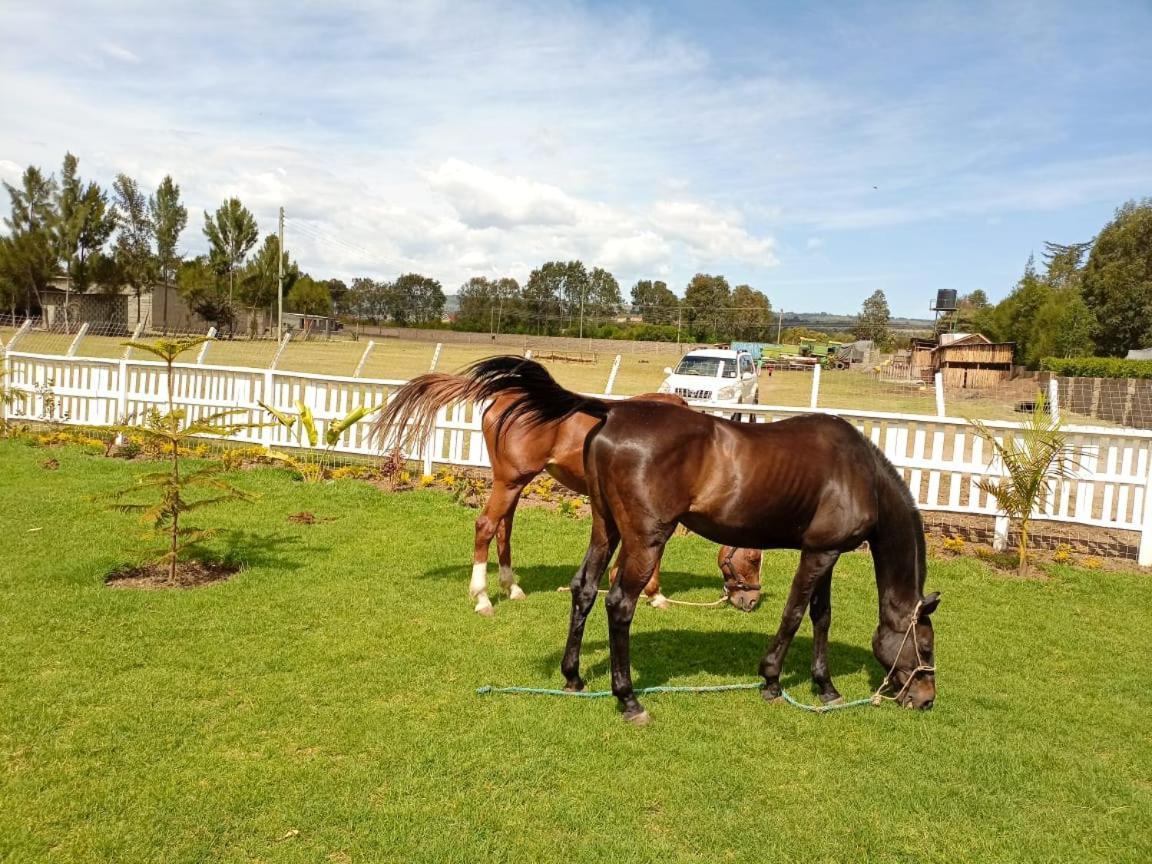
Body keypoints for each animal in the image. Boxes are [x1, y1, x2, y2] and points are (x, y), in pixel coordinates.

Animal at [370, 373, 764, 617]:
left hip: (514, 483)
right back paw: (482, 597)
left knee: (504, 529)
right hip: (510, 481)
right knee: (486, 526)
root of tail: (504, 396)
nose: (750, 600)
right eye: (754, 557)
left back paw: (511, 587)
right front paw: (655, 594)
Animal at [453, 357, 940, 723]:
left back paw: (573, 677)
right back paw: (628, 698)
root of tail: (611, 411)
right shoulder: (821, 554)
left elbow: (821, 616)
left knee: (584, 589)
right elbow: (795, 614)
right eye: (927, 645)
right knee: (619, 603)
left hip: (605, 528)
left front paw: (825, 686)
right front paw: (771, 680)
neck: (859, 474)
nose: (926, 698)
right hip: (643, 538)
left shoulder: (823, 551)